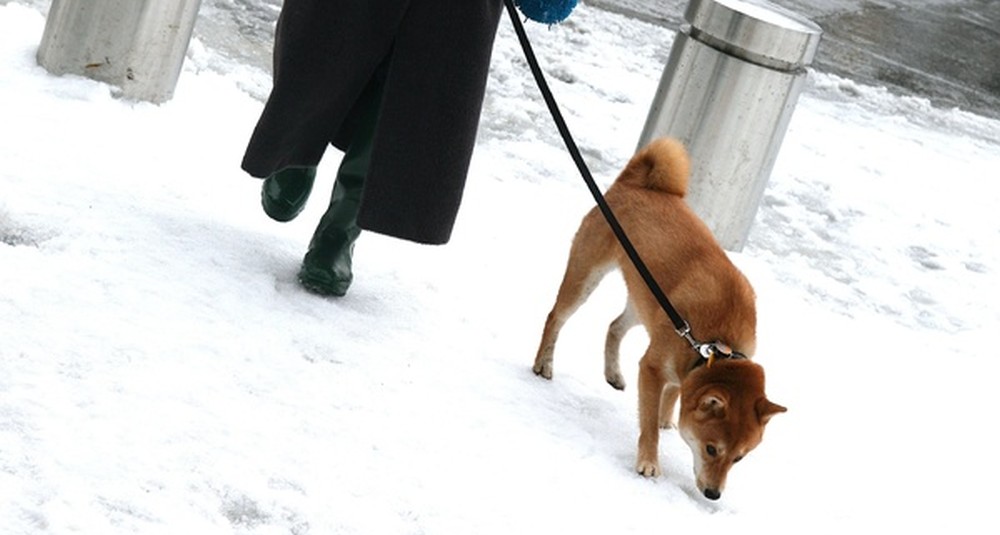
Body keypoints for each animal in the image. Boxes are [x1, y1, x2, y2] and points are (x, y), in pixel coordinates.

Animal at [536, 136, 784, 500]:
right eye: (712, 449)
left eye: (739, 458)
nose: (714, 494)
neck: (718, 341)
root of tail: (635, 184)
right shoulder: (651, 368)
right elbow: (649, 423)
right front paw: (649, 461)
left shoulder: (684, 362)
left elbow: (676, 393)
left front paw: (670, 417)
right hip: (587, 276)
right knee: (556, 316)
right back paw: (543, 363)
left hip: (646, 304)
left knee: (614, 326)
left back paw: (613, 373)